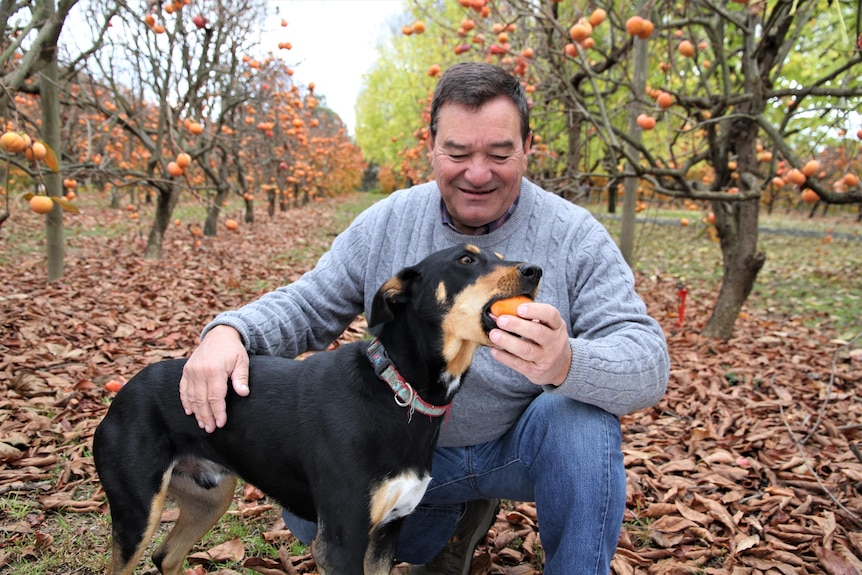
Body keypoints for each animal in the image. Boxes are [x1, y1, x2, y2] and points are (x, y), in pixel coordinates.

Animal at [93, 244, 540, 575]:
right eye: (466, 260)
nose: (536, 270)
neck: (398, 388)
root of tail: (122, 394)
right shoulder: (341, 541)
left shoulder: (387, 533)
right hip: (137, 512)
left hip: (211, 497)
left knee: (166, 555)